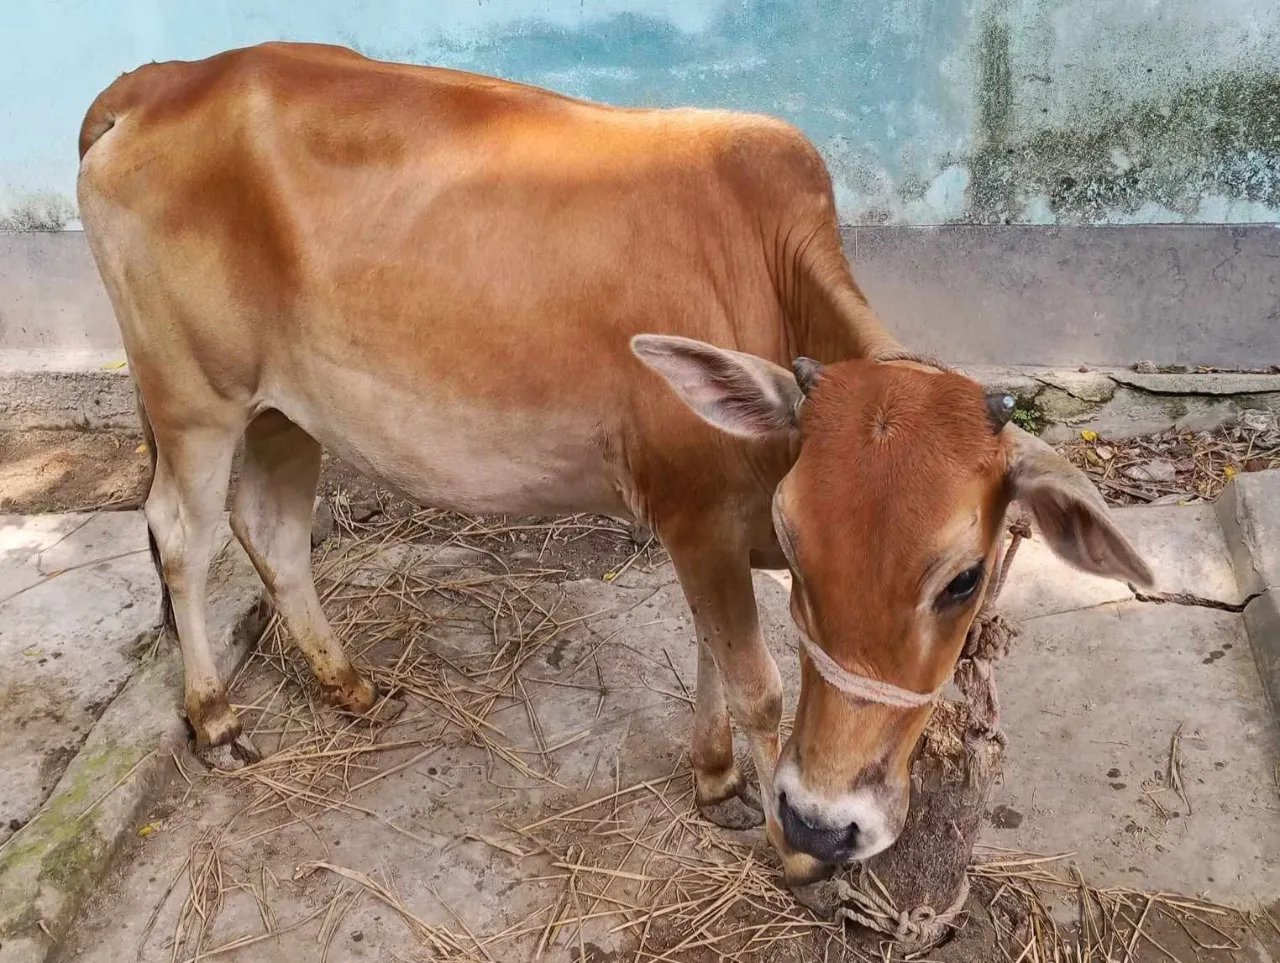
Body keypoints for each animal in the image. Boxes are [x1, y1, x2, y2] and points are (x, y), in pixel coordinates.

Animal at [77, 42, 1152, 900]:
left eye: (964, 578)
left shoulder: (713, 530)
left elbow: (714, 654)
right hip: (194, 401)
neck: (766, 277)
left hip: (284, 409)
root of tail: (162, 79)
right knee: (183, 538)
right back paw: (215, 718)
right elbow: (755, 679)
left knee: (273, 529)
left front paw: (717, 779)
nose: (825, 818)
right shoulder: (697, 514)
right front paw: (788, 846)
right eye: (799, 547)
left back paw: (349, 685)